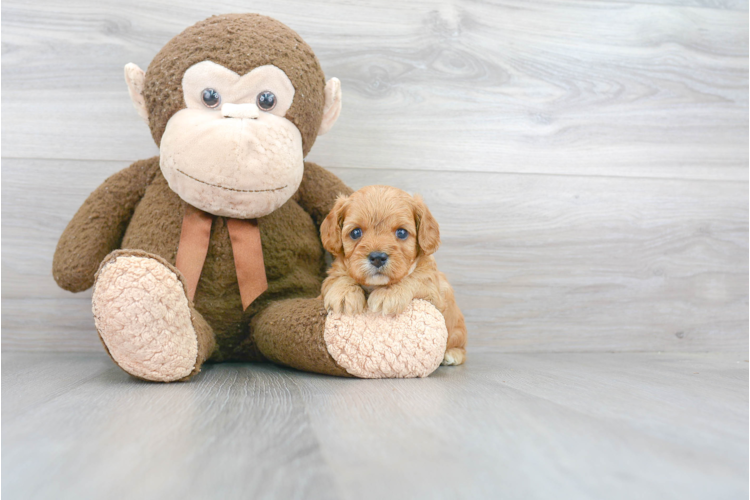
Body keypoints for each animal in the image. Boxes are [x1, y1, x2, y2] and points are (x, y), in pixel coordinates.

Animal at [320, 184, 468, 364]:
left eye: (401, 233)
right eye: (356, 232)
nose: (377, 257)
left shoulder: (433, 290)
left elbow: (415, 278)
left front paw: (388, 293)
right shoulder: (332, 276)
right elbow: (338, 278)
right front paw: (344, 294)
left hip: (458, 334)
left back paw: (452, 355)